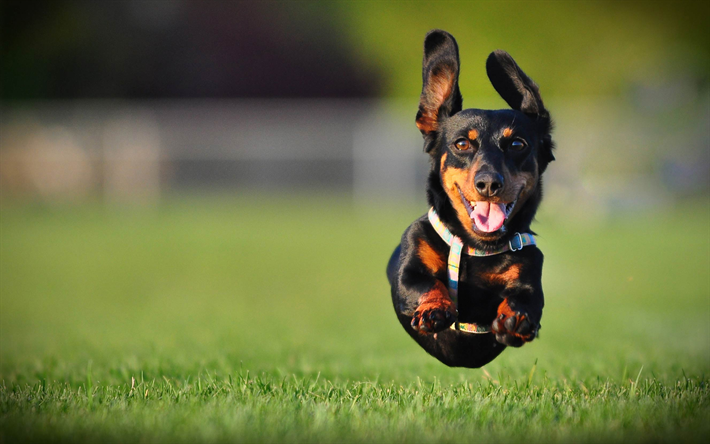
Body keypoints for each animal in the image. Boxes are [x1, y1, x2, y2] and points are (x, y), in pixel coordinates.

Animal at [390, 30, 556, 368]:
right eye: (462, 144)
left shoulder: (530, 272)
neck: (477, 246)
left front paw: (516, 318)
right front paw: (434, 308)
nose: (489, 183)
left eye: (517, 144)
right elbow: (424, 283)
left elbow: (526, 299)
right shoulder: (409, 268)